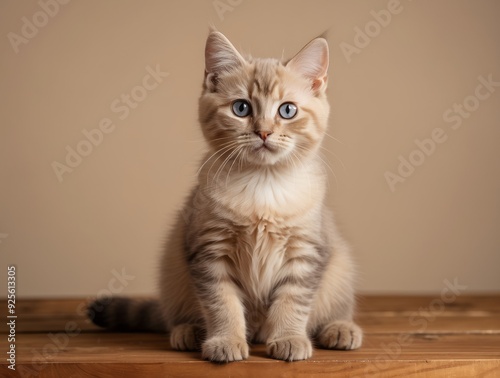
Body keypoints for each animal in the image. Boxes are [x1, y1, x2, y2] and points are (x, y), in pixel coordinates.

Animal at [89, 31, 364, 362]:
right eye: (241, 108)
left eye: (287, 110)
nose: (264, 132)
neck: (263, 183)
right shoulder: (209, 251)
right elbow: (222, 304)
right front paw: (226, 340)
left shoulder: (307, 253)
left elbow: (292, 302)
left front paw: (288, 338)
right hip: (173, 270)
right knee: (176, 316)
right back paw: (189, 332)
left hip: (341, 267)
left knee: (333, 309)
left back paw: (340, 328)